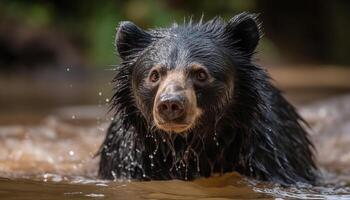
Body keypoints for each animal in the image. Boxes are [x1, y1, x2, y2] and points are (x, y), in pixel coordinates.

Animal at [98, 11, 318, 185]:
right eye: (154, 75)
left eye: (201, 74)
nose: (170, 104)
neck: (186, 143)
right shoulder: (128, 159)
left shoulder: (268, 154)